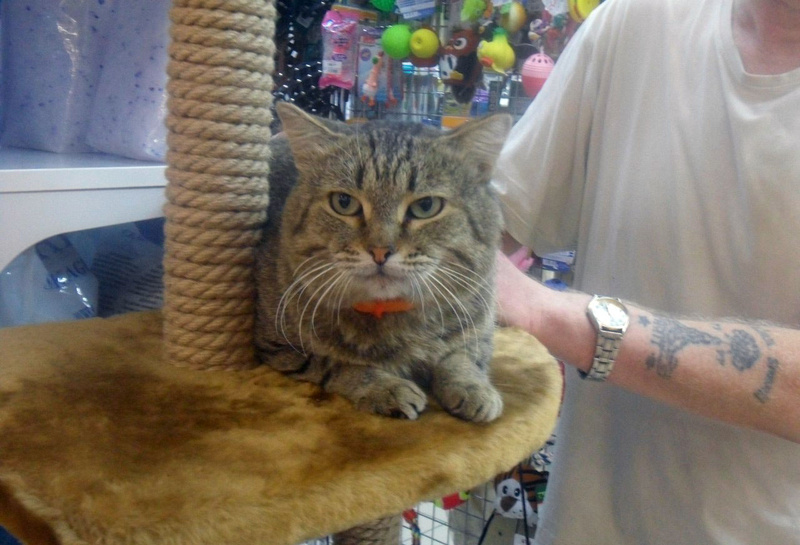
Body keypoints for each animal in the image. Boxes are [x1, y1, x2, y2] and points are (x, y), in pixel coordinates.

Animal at [255, 102, 512, 423]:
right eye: (343, 202)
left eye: (426, 206)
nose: (379, 251)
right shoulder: (280, 348)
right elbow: (340, 365)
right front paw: (386, 387)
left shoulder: (481, 329)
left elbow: (460, 357)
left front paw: (473, 386)